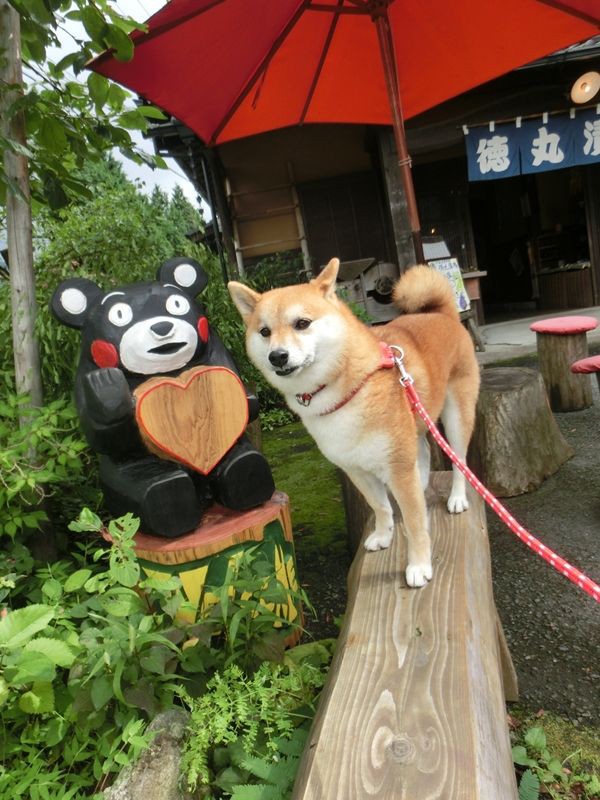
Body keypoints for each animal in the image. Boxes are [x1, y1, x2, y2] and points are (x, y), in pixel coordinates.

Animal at [227, 262, 480, 588]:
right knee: (422, 450)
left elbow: (414, 525)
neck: (342, 389)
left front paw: (419, 565)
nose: (277, 356)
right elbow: (381, 506)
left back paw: (457, 497)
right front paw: (383, 535)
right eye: (265, 332)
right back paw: (422, 483)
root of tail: (442, 314)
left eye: (302, 323)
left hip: (455, 415)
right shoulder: (354, 468)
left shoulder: (397, 465)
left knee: (459, 460)